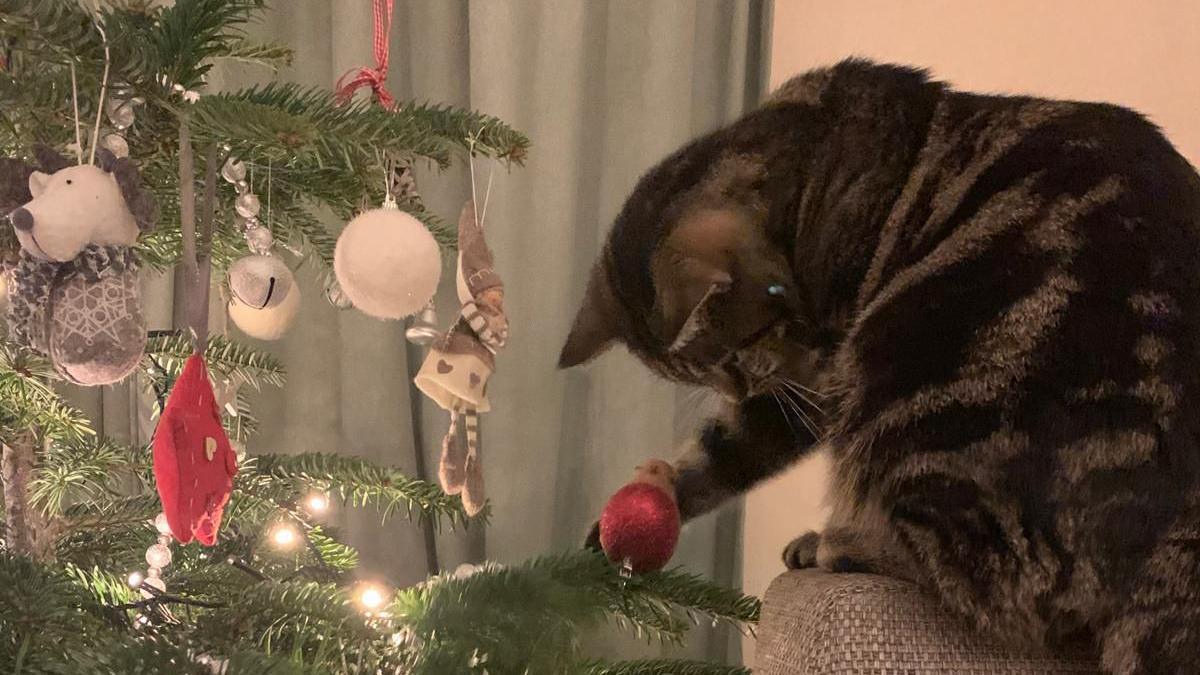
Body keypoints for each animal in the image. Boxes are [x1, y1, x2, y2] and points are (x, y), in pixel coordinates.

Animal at [556, 60, 1200, 667]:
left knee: (993, 577)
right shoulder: (798, 390)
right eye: (711, 371)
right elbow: (723, 448)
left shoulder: (819, 379)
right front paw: (644, 499)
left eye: (741, 349)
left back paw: (834, 540)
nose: (741, 385)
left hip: (907, 379)